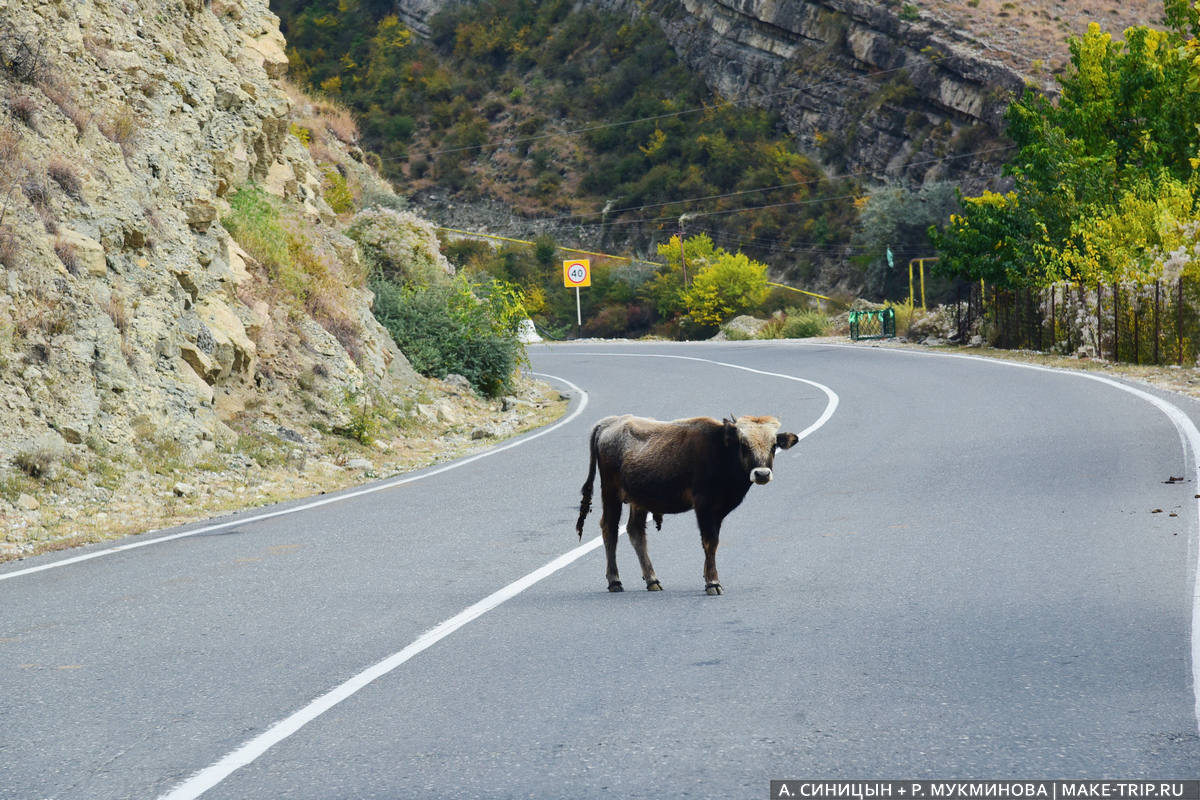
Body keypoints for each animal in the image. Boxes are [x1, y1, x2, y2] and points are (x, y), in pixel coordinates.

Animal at [578, 419, 801, 594]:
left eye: (774, 445)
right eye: (743, 444)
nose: (761, 474)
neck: (721, 451)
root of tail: (610, 423)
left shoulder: (718, 512)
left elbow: (712, 542)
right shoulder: (704, 507)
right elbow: (710, 542)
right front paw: (712, 583)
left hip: (639, 500)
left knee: (635, 531)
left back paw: (652, 580)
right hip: (611, 493)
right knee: (610, 529)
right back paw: (615, 581)